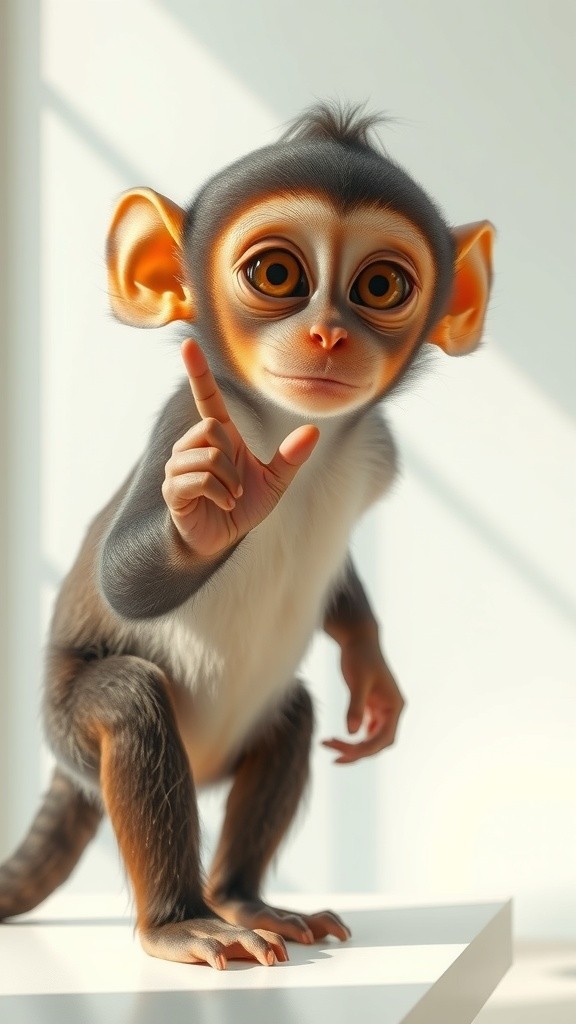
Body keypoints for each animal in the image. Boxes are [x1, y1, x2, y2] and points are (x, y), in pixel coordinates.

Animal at [0, 103, 494, 970]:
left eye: (381, 285)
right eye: (276, 275)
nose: (328, 335)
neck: (303, 436)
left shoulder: (378, 449)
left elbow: (343, 598)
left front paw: (371, 669)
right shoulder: (186, 419)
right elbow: (125, 583)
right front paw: (213, 508)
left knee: (290, 717)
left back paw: (242, 898)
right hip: (66, 729)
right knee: (131, 704)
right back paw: (179, 920)